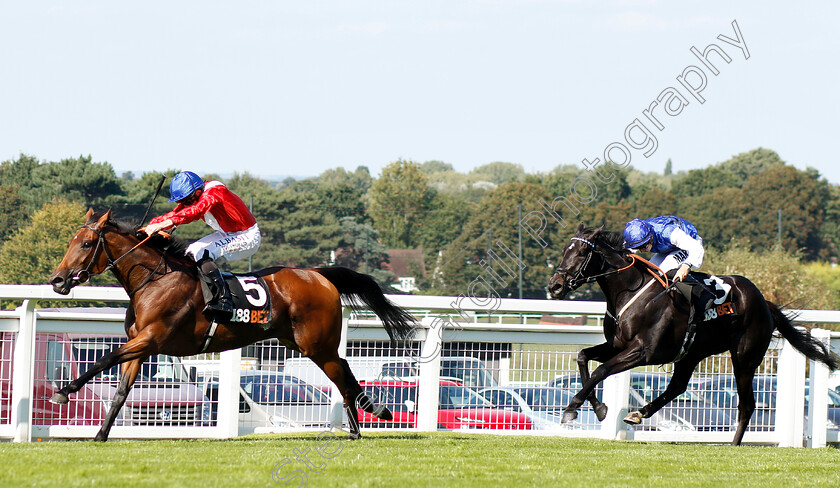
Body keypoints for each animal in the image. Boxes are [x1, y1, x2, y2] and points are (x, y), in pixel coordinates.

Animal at [47, 210, 416, 442]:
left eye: (85, 244)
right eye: (71, 242)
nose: (58, 280)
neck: (154, 280)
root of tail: (319, 275)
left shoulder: (152, 339)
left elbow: (104, 358)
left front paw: (64, 391)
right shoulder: (141, 345)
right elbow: (121, 391)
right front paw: (100, 434)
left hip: (317, 344)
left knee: (341, 375)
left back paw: (363, 422)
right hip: (302, 344)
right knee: (344, 371)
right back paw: (370, 414)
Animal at [548, 223, 836, 444]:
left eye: (583, 251)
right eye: (564, 251)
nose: (555, 286)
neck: (631, 291)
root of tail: (764, 302)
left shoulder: (643, 351)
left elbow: (601, 370)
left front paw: (573, 408)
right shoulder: (617, 345)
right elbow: (584, 357)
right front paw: (597, 407)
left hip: (745, 357)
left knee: (747, 404)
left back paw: (733, 444)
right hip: (691, 353)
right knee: (678, 386)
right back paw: (639, 413)